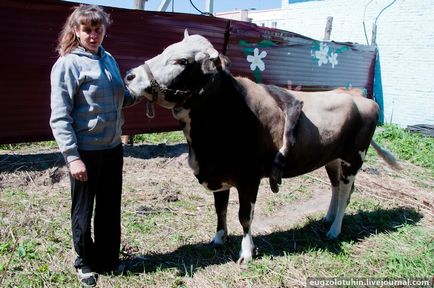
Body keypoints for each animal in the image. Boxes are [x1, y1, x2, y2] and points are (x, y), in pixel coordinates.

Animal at [123, 30, 400, 264]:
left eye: (181, 61)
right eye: (164, 49)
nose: (130, 76)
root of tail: (359, 96)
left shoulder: (249, 178)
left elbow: (245, 216)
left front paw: (246, 252)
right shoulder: (219, 174)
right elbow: (220, 210)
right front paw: (218, 239)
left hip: (353, 158)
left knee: (345, 193)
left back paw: (334, 230)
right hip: (332, 159)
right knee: (336, 188)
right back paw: (328, 218)